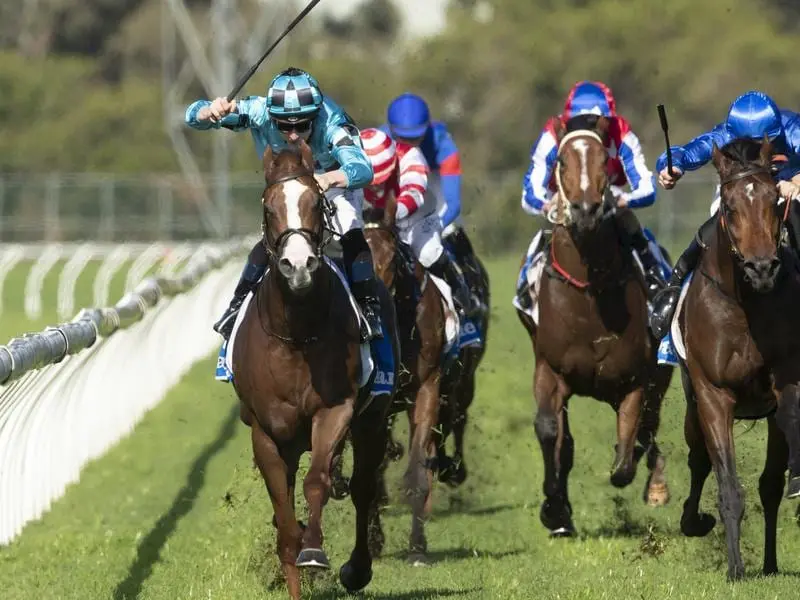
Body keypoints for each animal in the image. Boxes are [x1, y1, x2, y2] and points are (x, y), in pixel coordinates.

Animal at [231, 142, 400, 600]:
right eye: (269, 207)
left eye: (315, 202)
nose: (298, 264)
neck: (296, 336)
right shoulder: (267, 432)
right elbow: (283, 513)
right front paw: (294, 563)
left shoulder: (335, 410)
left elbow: (318, 482)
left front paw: (314, 551)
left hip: (372, 421)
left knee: (362, 488)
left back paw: (357, 568)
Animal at [520, 116, 676, 536]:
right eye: (560, 160)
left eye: (604, 159)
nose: (586, 210)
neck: (589, 294)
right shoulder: (550, 370)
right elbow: (550, 432)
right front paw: (554, 509)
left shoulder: (635, 380)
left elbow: (625, 459)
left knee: (648, 429)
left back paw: (656, 483)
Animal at [680, 137, 800, 580]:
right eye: (729, 207)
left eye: (774, 201)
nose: (762, 268)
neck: (742, 301)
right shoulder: (712, 395)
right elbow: (727, 485)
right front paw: (735, 569)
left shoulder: (786, 378)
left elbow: (789, 425)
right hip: (693, 406)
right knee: (698, 458)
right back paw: (693, 521)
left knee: (769, 485)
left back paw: (769, 563)